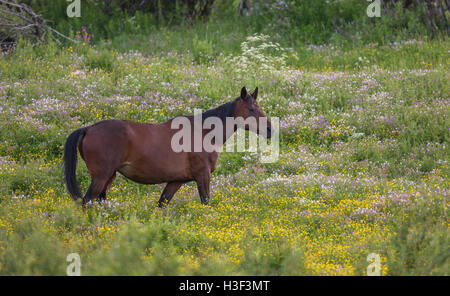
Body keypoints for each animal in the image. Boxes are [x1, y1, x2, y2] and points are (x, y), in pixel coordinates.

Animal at [64, 86, 270, 207]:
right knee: (85, 202)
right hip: (101, 178)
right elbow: (206, 202)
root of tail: (88, 129)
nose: (270, 129)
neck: (203, 132)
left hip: (109, 177)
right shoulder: (203, 176)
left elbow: (162, 203)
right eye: (251, 109)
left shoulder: (175, 181)